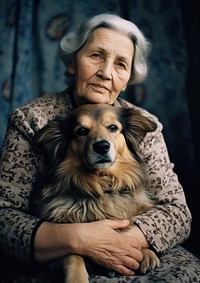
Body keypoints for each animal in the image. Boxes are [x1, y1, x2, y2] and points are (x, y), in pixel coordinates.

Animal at [30, 104, 160, 283]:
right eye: (82, 131)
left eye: (113, 127)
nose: (102, 146)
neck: (101, 186)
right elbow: (73, 255)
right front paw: (77, 278)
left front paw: (147, 253)